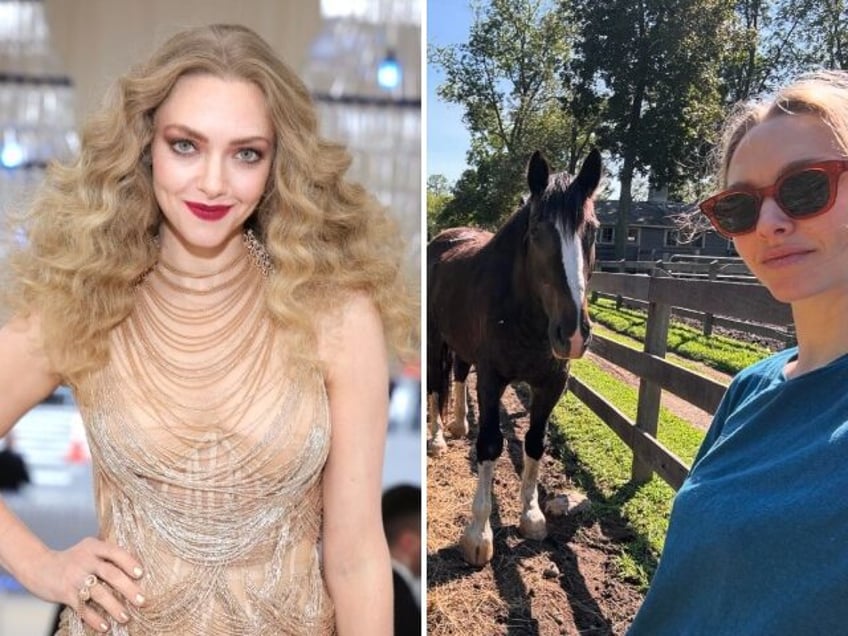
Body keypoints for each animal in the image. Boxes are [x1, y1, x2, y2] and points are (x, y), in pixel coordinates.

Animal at [428, 150, 600, 568]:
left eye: (593, 230)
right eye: (537, 231)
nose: (573, 333)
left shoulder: (551, 384)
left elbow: (535, 443)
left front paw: (531, 515)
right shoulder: (492, 379)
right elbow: (490, 444)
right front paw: (478, 535)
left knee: (459, 374)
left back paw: (459, 423)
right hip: (435, 337)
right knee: (436, 384)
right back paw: (438, 439)